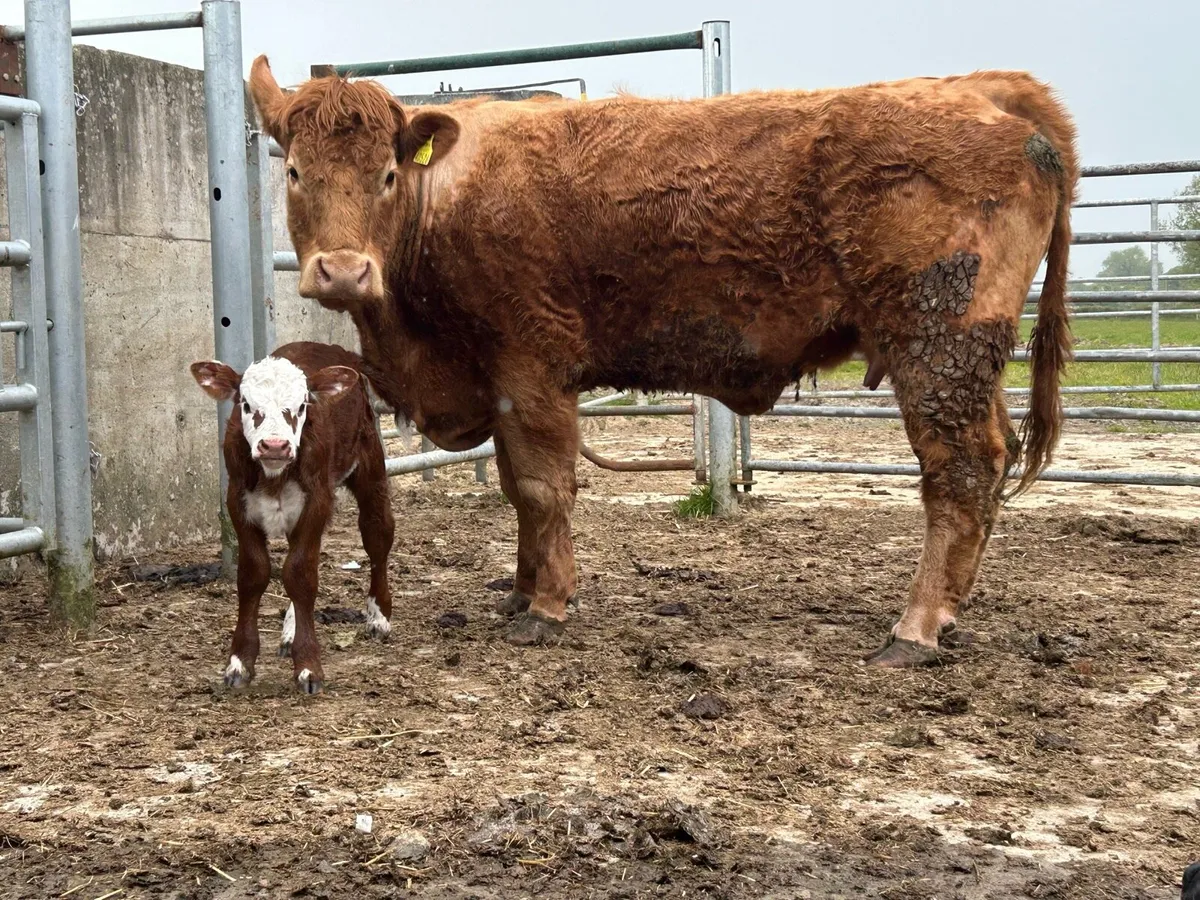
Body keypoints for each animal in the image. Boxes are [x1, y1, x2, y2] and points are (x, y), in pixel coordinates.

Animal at [190, 342, 394, 694]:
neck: (274, 475)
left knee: (377, 536)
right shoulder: (238, 504)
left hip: (371, 469)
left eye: (302, 405)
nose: (274, 445)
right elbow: (254, 574)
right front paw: (239, 663)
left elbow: (300, 575)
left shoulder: (317, 503)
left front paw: (309, 665)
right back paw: (289, 630)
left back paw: (378, 616)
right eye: (246, 404)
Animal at [248, 59, 1078, 668]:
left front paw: (548, 607)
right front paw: (520, 590)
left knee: (960, 470)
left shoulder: (532, 364)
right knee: (990, 463)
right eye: (294, 171)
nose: (343, 270)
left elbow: (544, 488)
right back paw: (949, 610)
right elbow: (517, 491)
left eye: (386, 175)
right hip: (966, 362)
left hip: (936, 349)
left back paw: (916, 626)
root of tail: (982, 87)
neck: (444, 198)